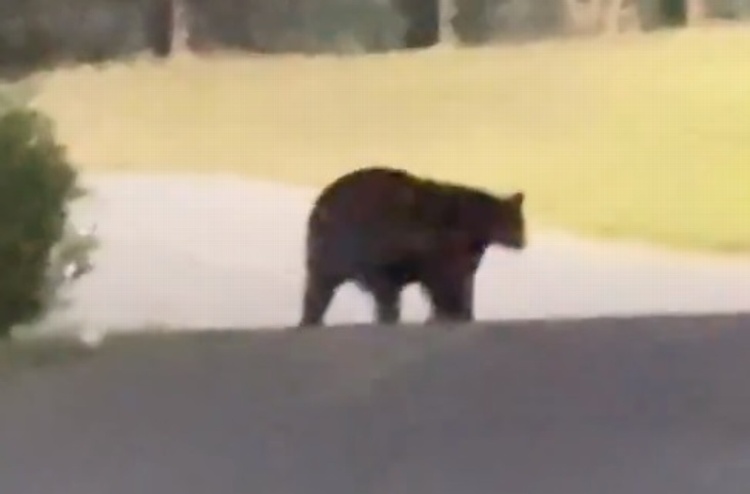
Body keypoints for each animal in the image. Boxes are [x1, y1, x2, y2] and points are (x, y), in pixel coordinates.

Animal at [296, 166, 524, 328]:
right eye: (516, 223)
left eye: (522, 224)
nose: (522, 242)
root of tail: (319, 210)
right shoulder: (441, 247)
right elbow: (447, 281)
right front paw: (450, 315)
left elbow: (462, 282)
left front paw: (458, 314)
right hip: (366, 245)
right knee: (383, 290)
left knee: (318, 289)